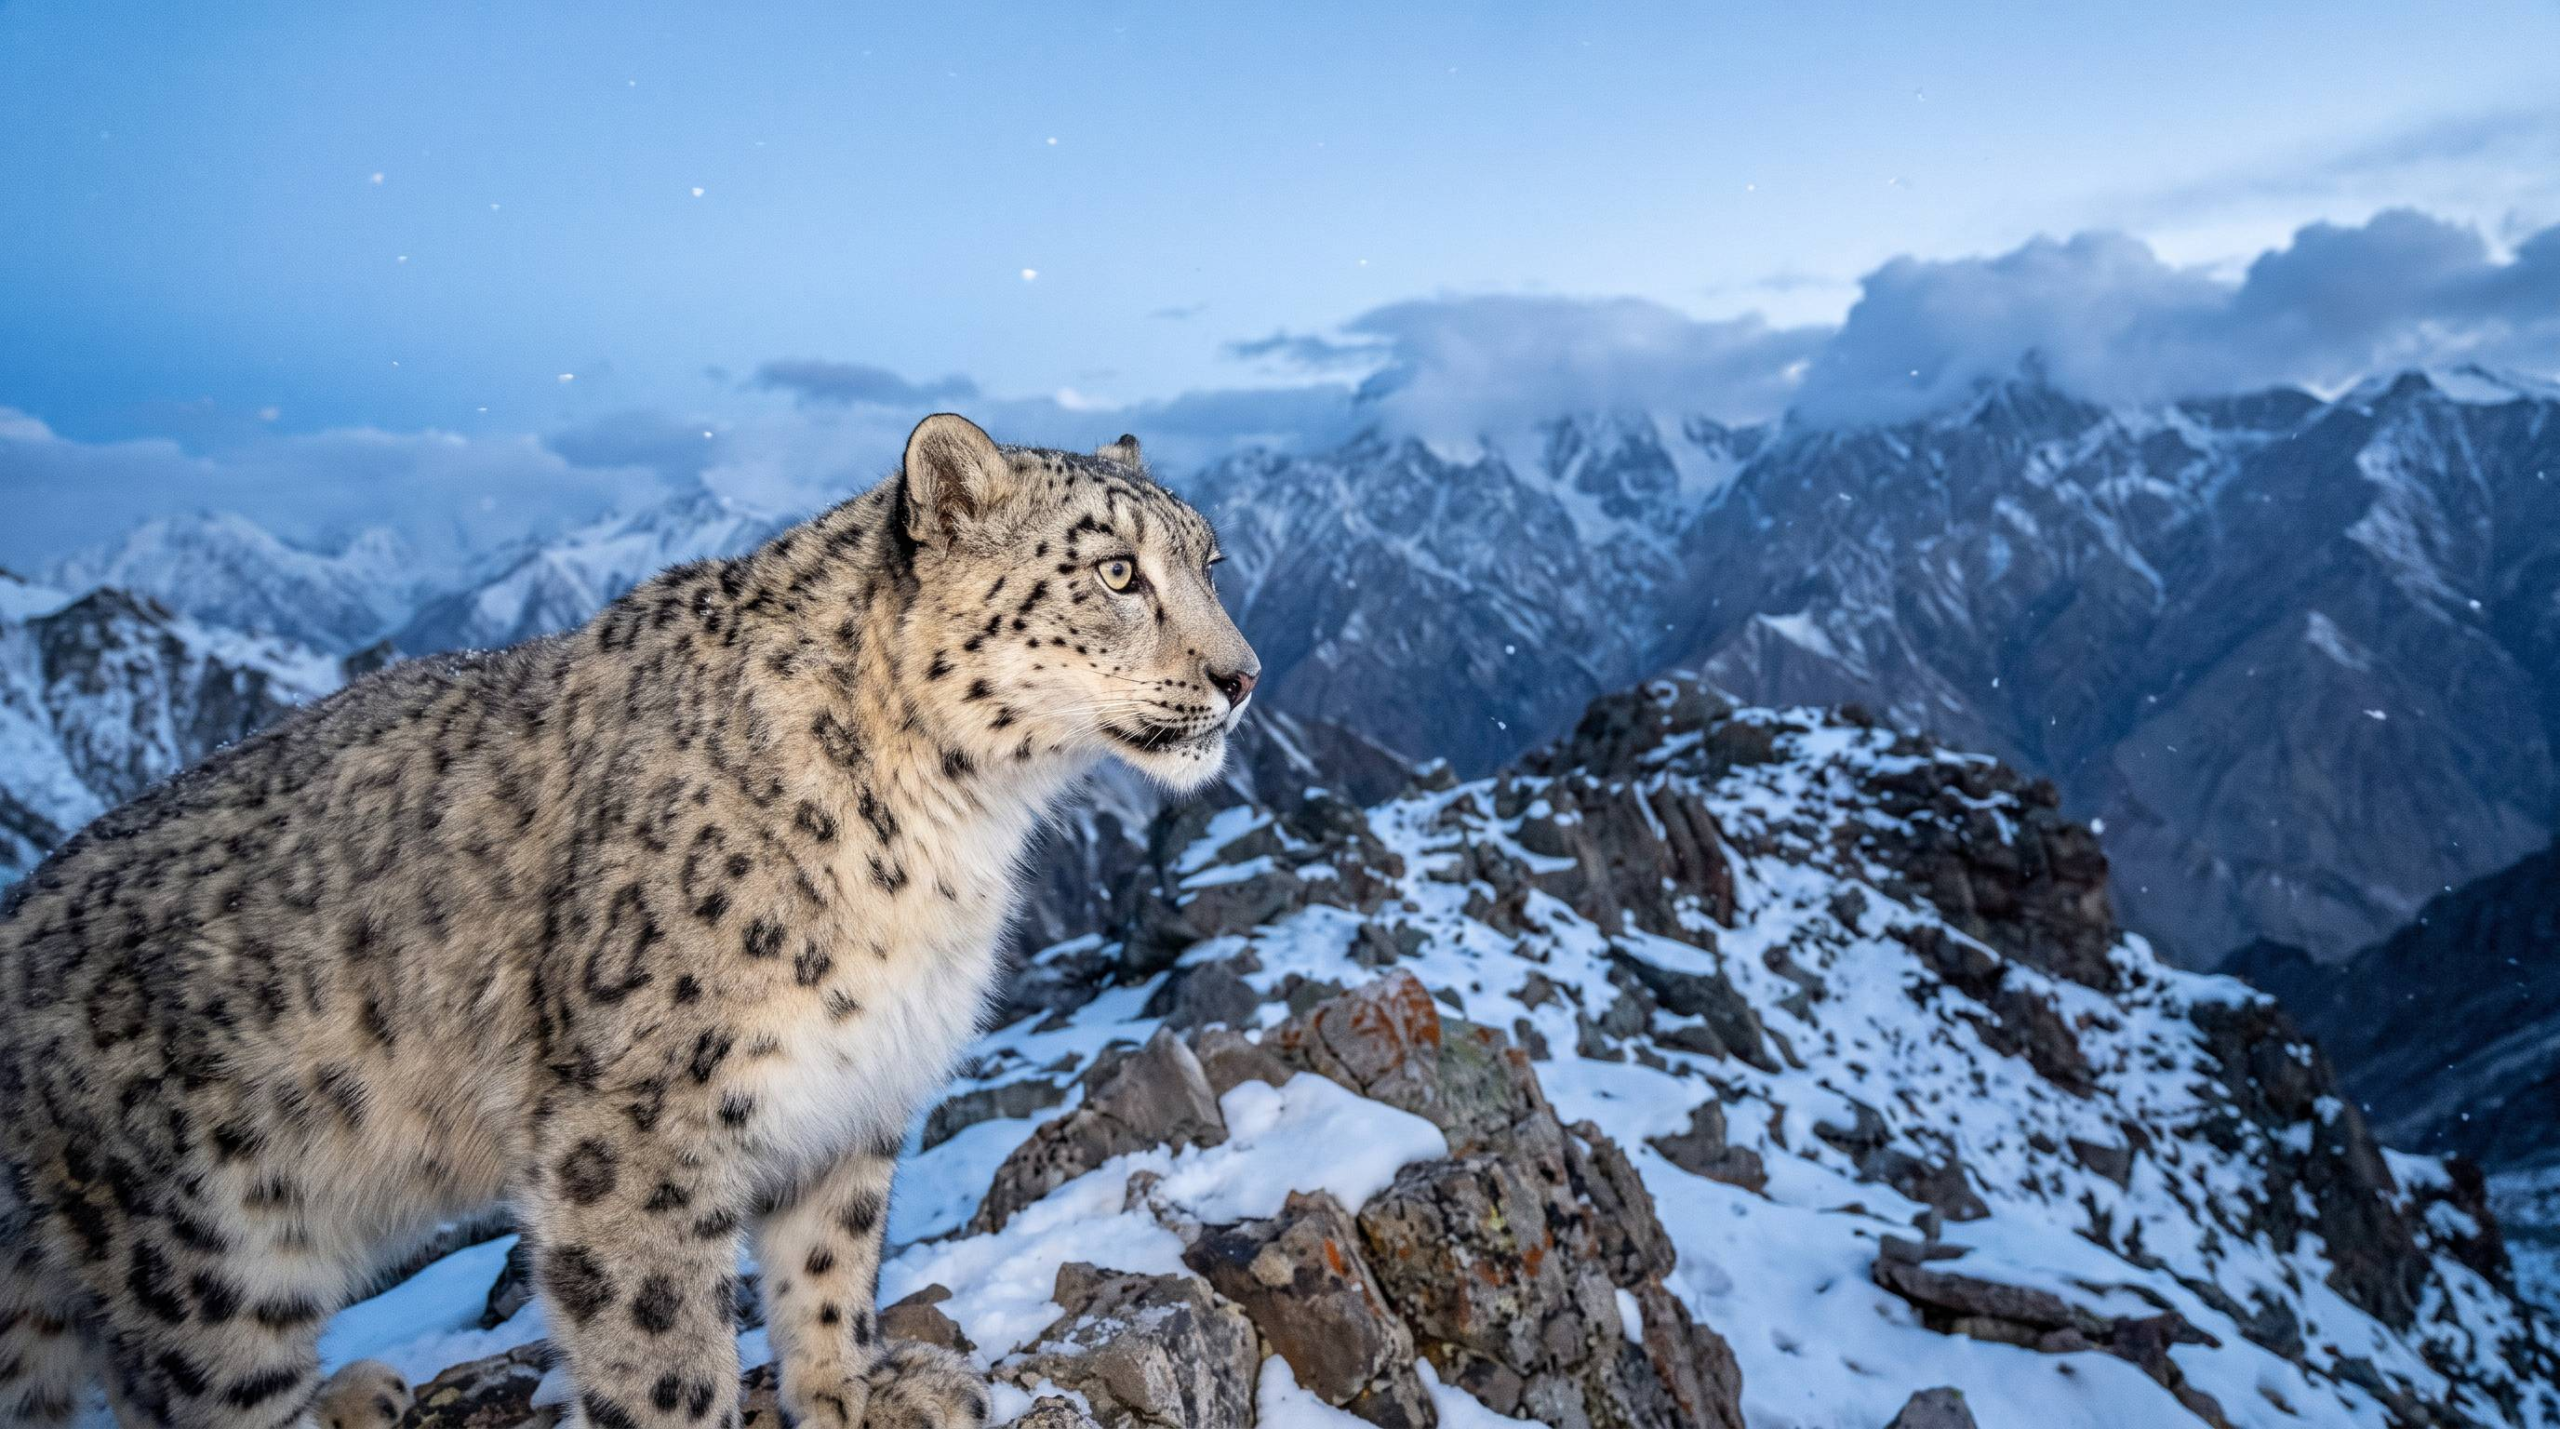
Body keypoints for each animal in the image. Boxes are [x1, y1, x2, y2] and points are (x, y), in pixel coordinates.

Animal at [0, 413, 1259, 1429]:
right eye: (1115, 572)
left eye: (1209, 560)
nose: (1241, 676)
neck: (953, 833)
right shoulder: (639, 1125)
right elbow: (660, 1344)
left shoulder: (854, 1085)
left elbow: (830, 1264)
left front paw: (854, 1391)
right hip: (206, 1260)